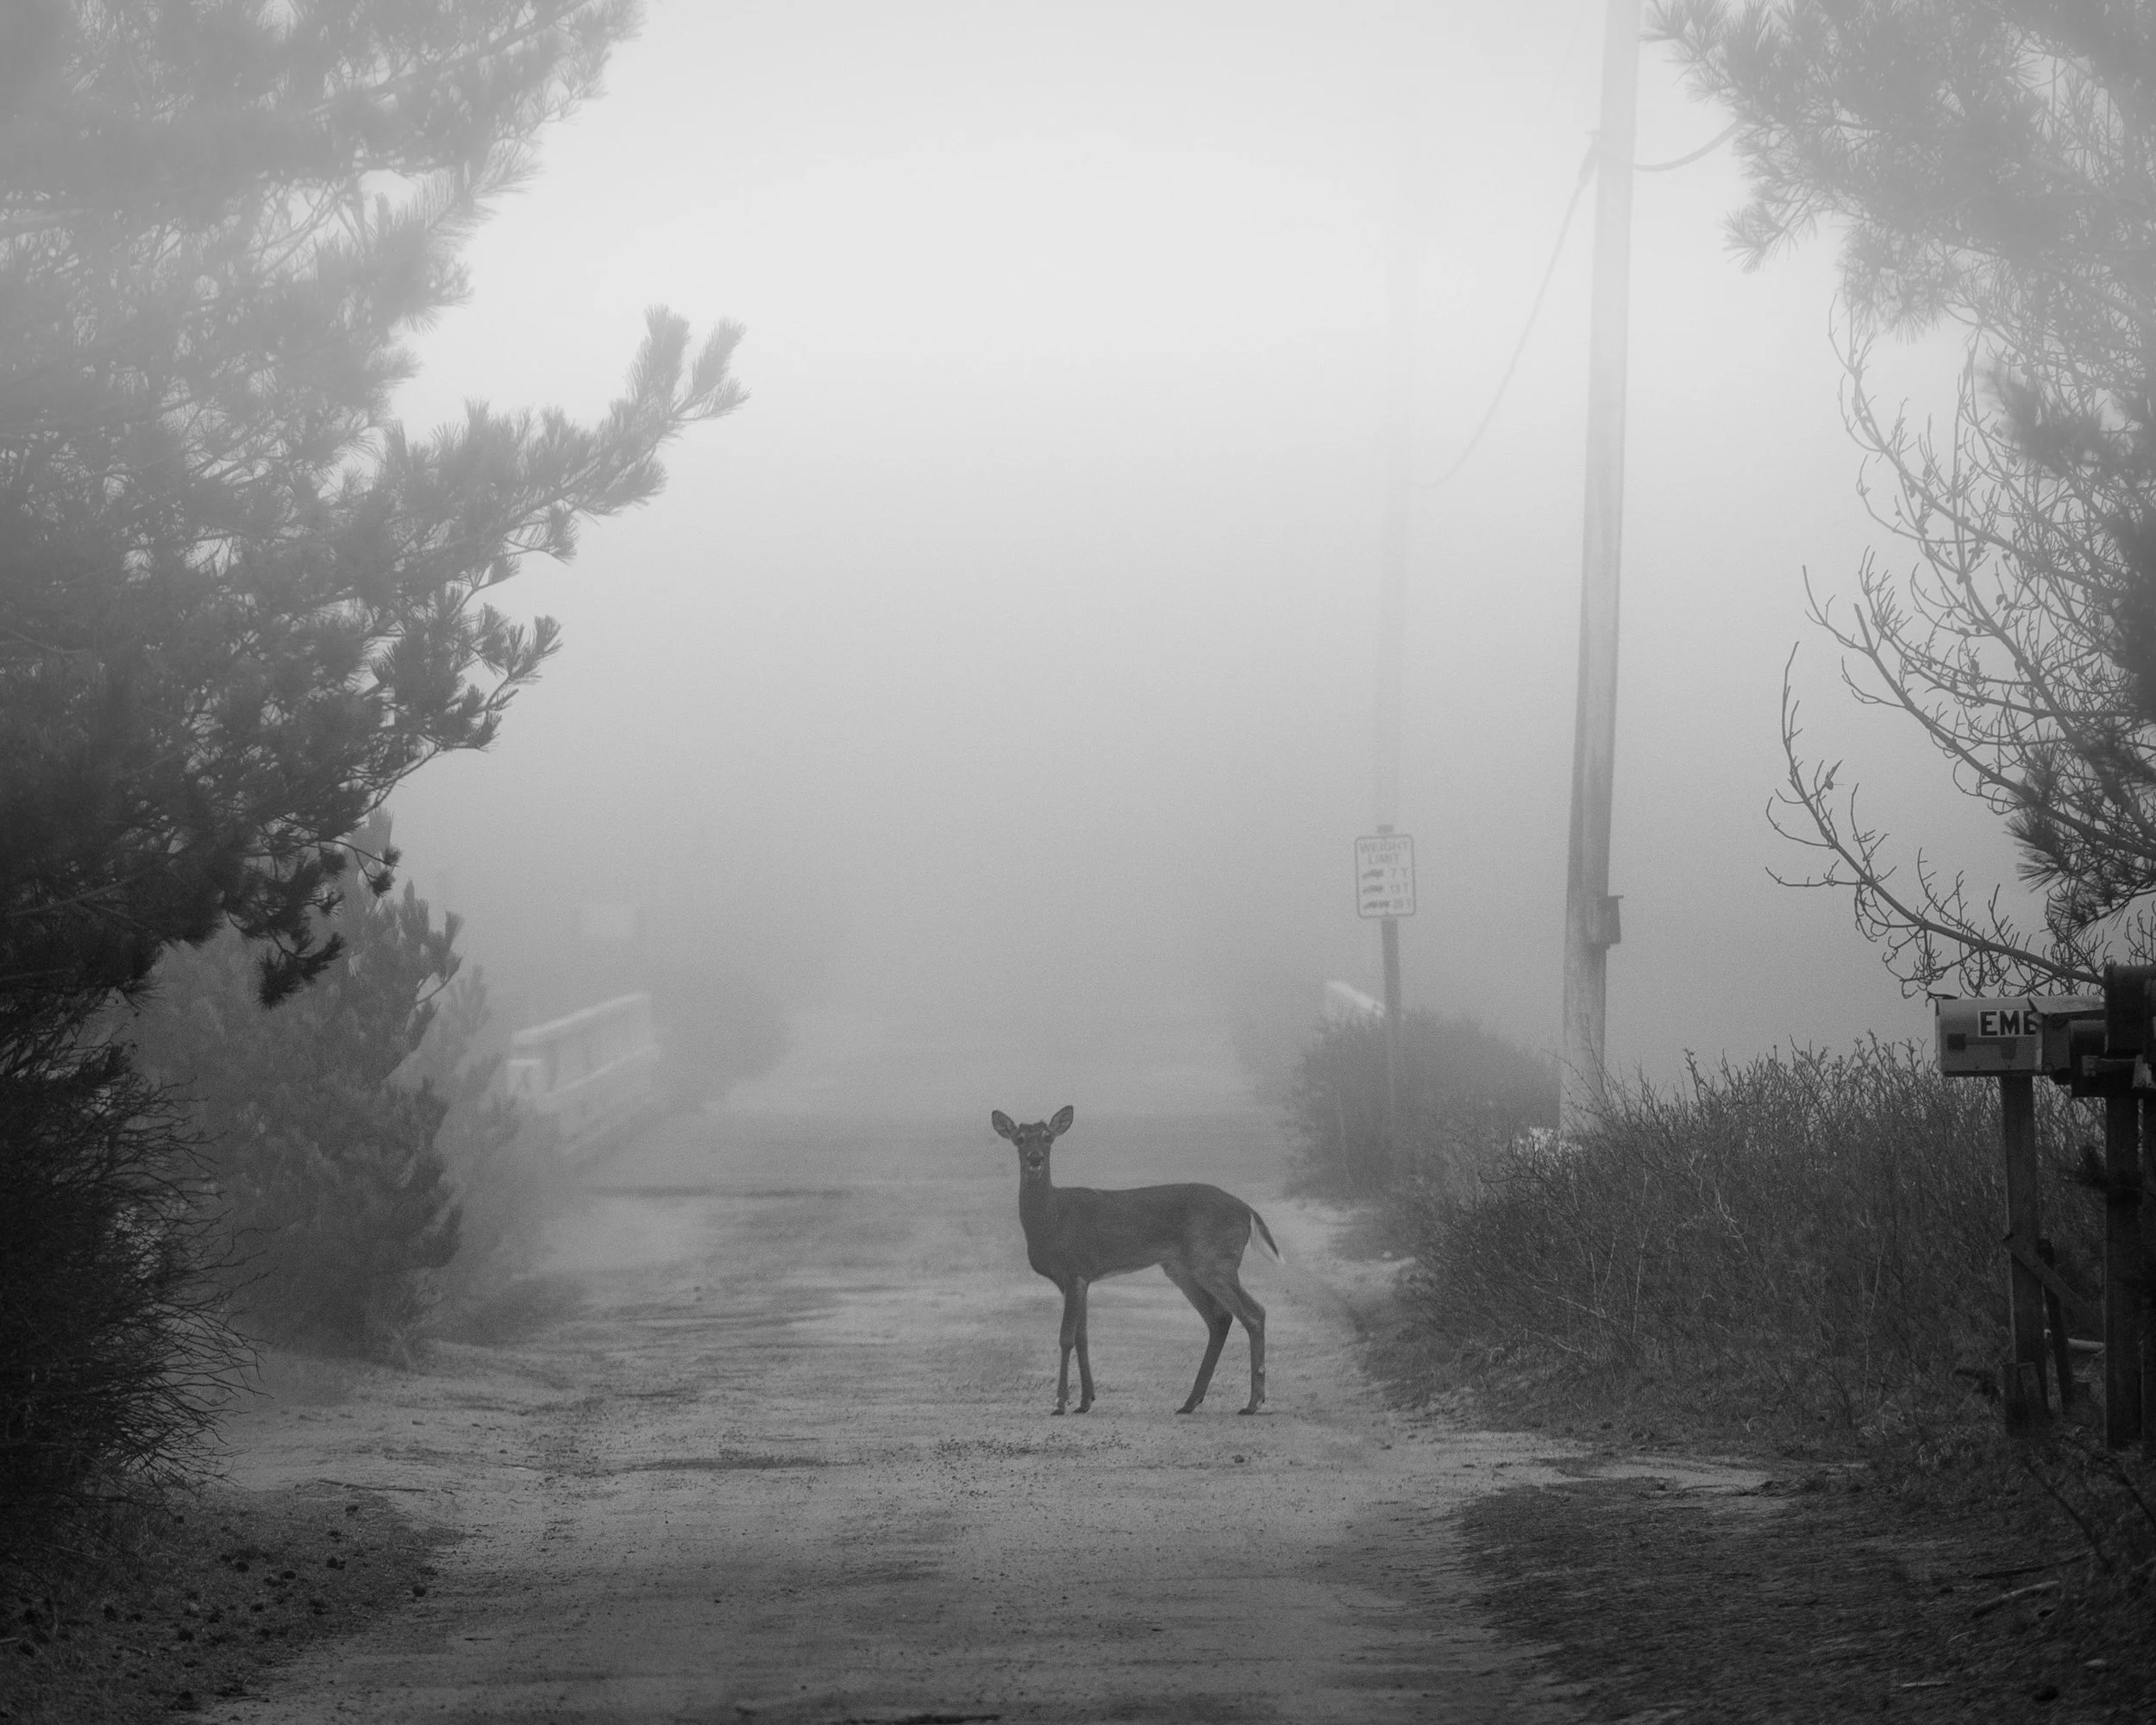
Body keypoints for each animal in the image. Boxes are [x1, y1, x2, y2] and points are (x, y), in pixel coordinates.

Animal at [992, 1104, 1278, 1417]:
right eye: (1019, 1139)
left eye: (1048, 1137)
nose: (1035, 1158)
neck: (1051, 1220)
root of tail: (1247, 1210)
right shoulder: (1078, 1278)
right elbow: (1082, 1337)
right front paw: (1085, 1400)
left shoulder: (1075, 1269)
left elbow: (1066, 1337)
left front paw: (1059, 1402)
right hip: (1182, 1268)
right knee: (1220, 1318)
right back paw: (1191, 1402)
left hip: (1215, 1261)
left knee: (1254, 1313)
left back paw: (1253, 1402)